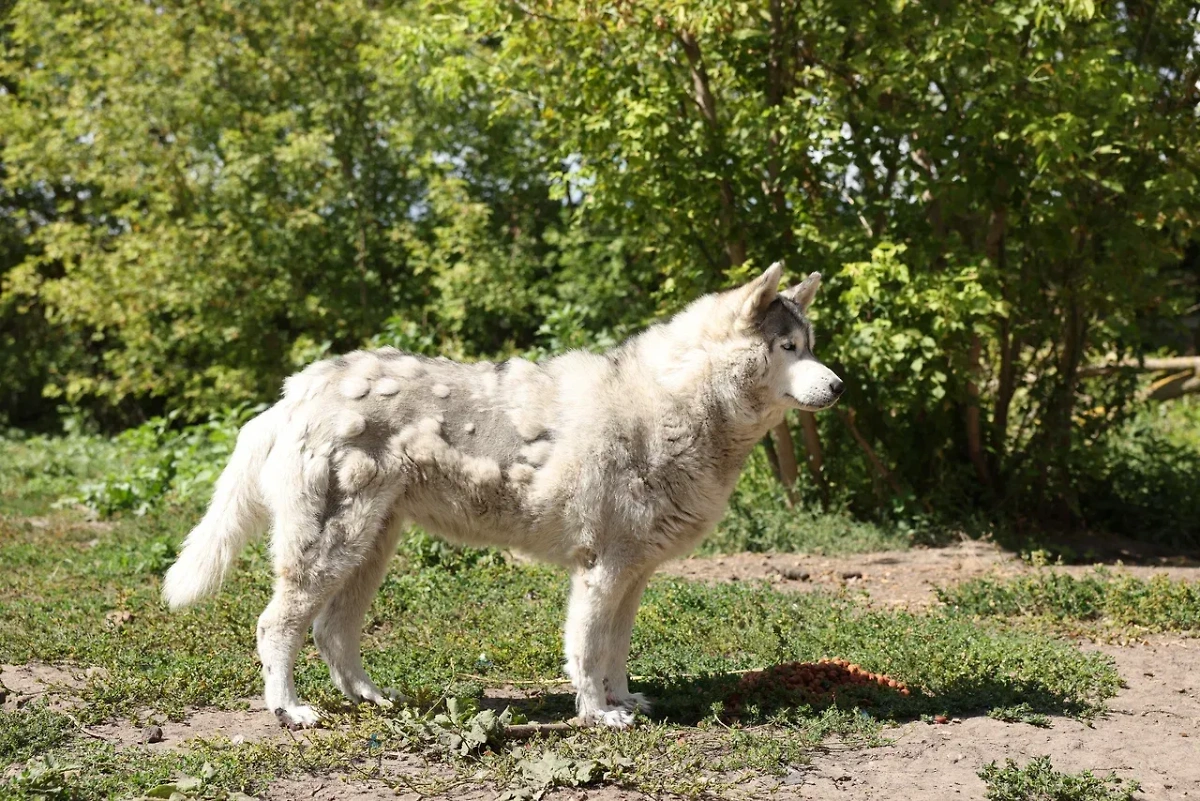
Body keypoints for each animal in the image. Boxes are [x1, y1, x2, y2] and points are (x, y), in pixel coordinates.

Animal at [162, 262, 844, 724]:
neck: (674, 405)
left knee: (332, 631)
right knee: (275, 625)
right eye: (788, 349)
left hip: (367, 552)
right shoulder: (600, 571)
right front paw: (599, 715)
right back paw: (290, 711)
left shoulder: (632, 577)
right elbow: (588, 651)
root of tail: (295, 390)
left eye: (810, 347)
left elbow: (617, 650)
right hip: (327, 551)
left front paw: (625, 700)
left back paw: (373, 697)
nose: (839, 386)